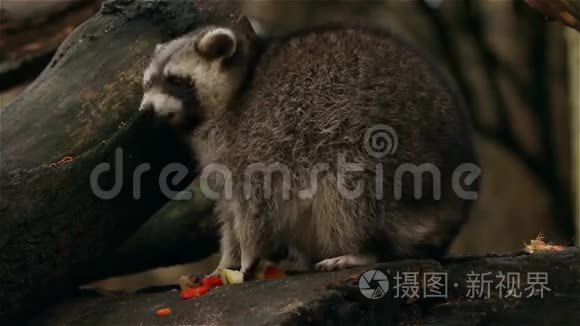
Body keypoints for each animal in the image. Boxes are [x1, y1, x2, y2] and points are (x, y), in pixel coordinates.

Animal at [138, 22, 478, 276]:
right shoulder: (218, 155)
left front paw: (247, 254)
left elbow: (253, 207)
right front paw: (227, 260)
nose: (146, 111)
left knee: (347, 196)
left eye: (176, 80)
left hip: (386, 157)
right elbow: (228, 211)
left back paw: (361, 250)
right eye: (148, 82)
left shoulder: (255, 142)